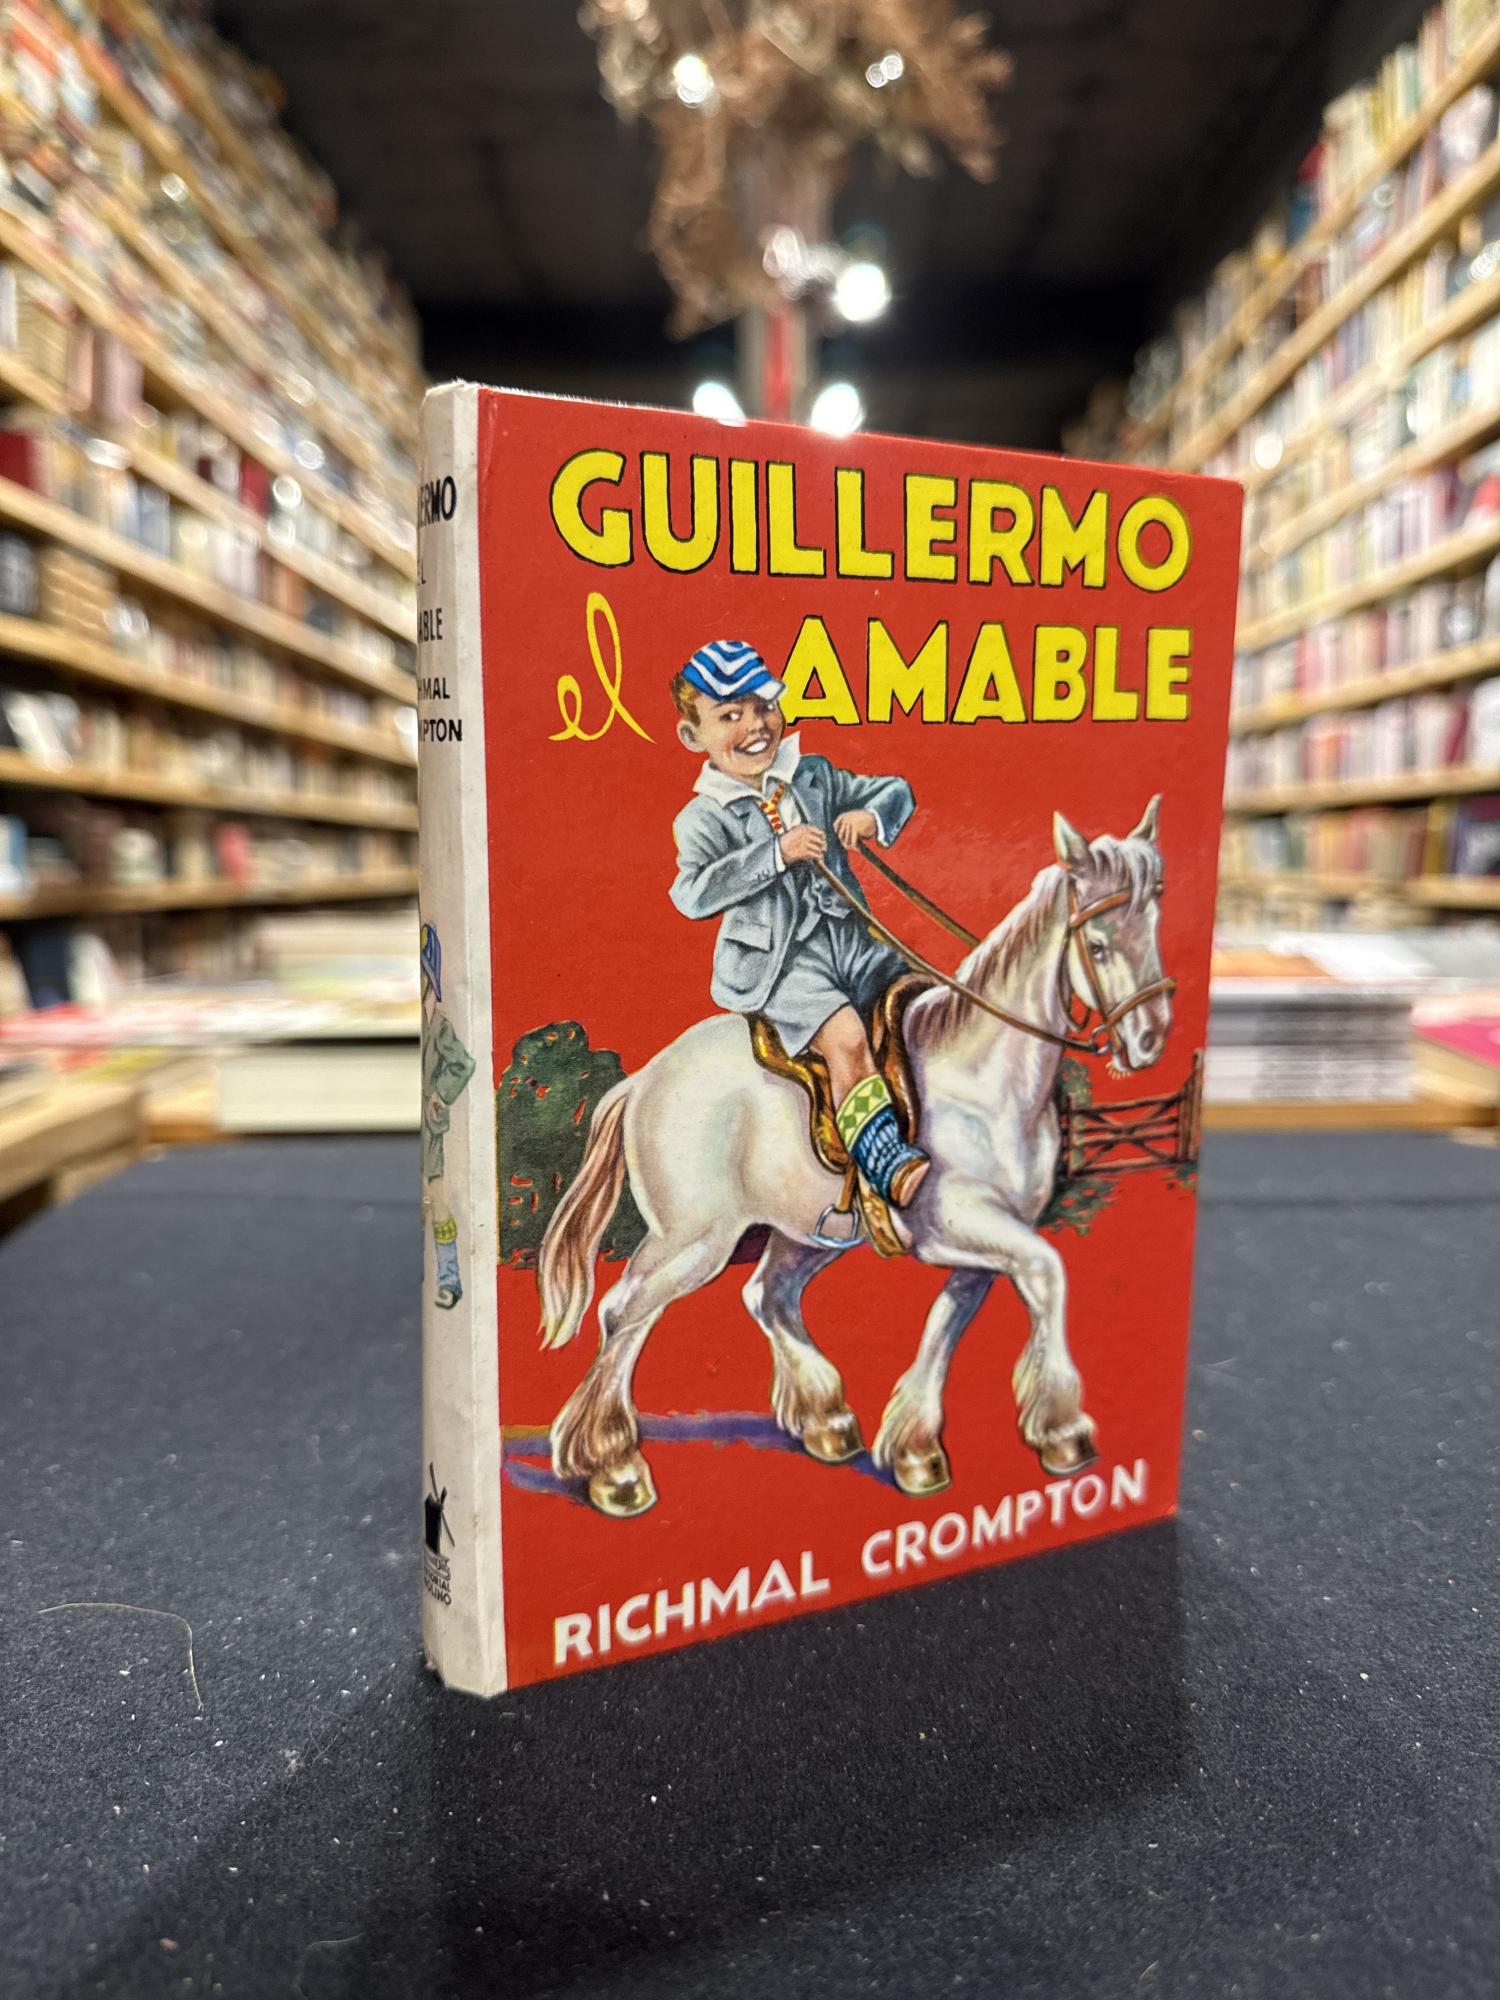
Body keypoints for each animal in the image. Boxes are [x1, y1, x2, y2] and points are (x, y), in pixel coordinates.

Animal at [537, 798, 1175, 1517]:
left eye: (1152, 927)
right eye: (1097, 946)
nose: (1148, 1040)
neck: (984, 1079)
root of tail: (644, 1080)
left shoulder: (986, 1244)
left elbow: (946, 1324)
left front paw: (917, 1450)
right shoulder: (965, 1226)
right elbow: (1049, 1276)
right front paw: (1064, 1433)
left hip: (802, 1233)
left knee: (767, 1295)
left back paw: (825, 1421)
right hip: (692, 1242)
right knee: (626, 1312)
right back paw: (612, 1465)